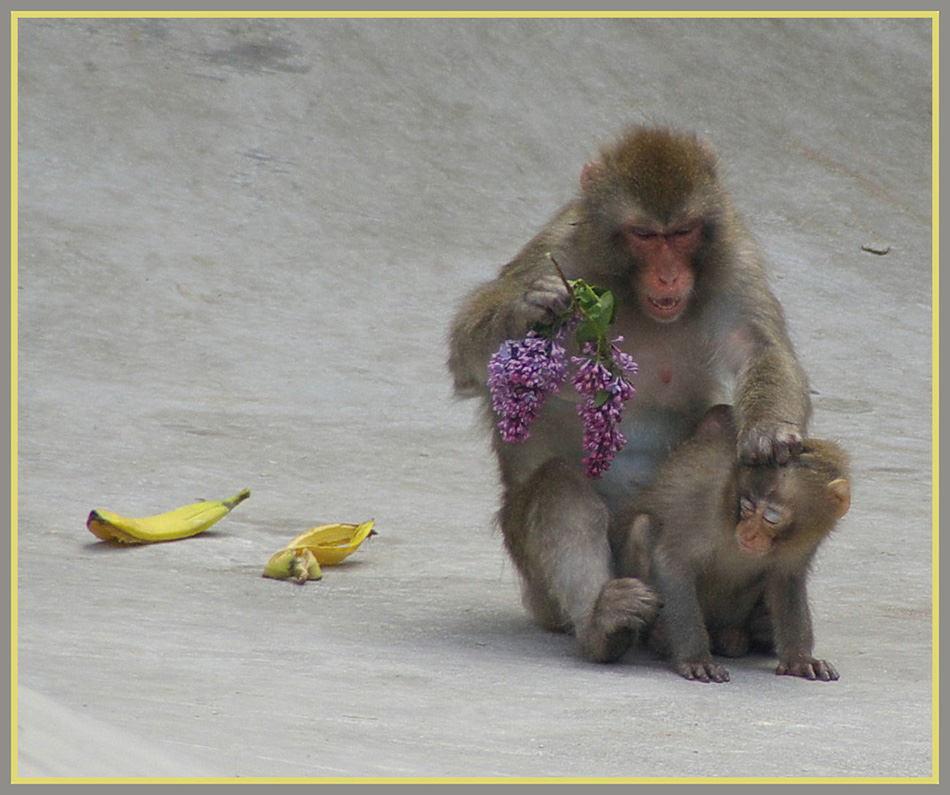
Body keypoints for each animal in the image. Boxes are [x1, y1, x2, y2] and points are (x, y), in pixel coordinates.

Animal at [446, 124, 812, 664]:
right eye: (644, 236)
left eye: (681, 232)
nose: (669, 275)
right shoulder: (561, 249)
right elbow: (466, 360)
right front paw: (526, 308)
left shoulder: (734, 258)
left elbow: (759, 347)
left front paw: (769, 430)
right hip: (543, 590)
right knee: (556, 486)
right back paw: (605, 625)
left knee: (721, 422)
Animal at [616, 408, 856, 688]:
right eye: (747, 506)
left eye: (771, 518)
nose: (748, 532)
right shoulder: (707, 504)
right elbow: (671, 561)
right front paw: (695, 659)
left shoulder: (807, 537)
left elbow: (786, 579)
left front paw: (800, 659)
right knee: (642, 526)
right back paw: (661, 636)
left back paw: (734, 637)